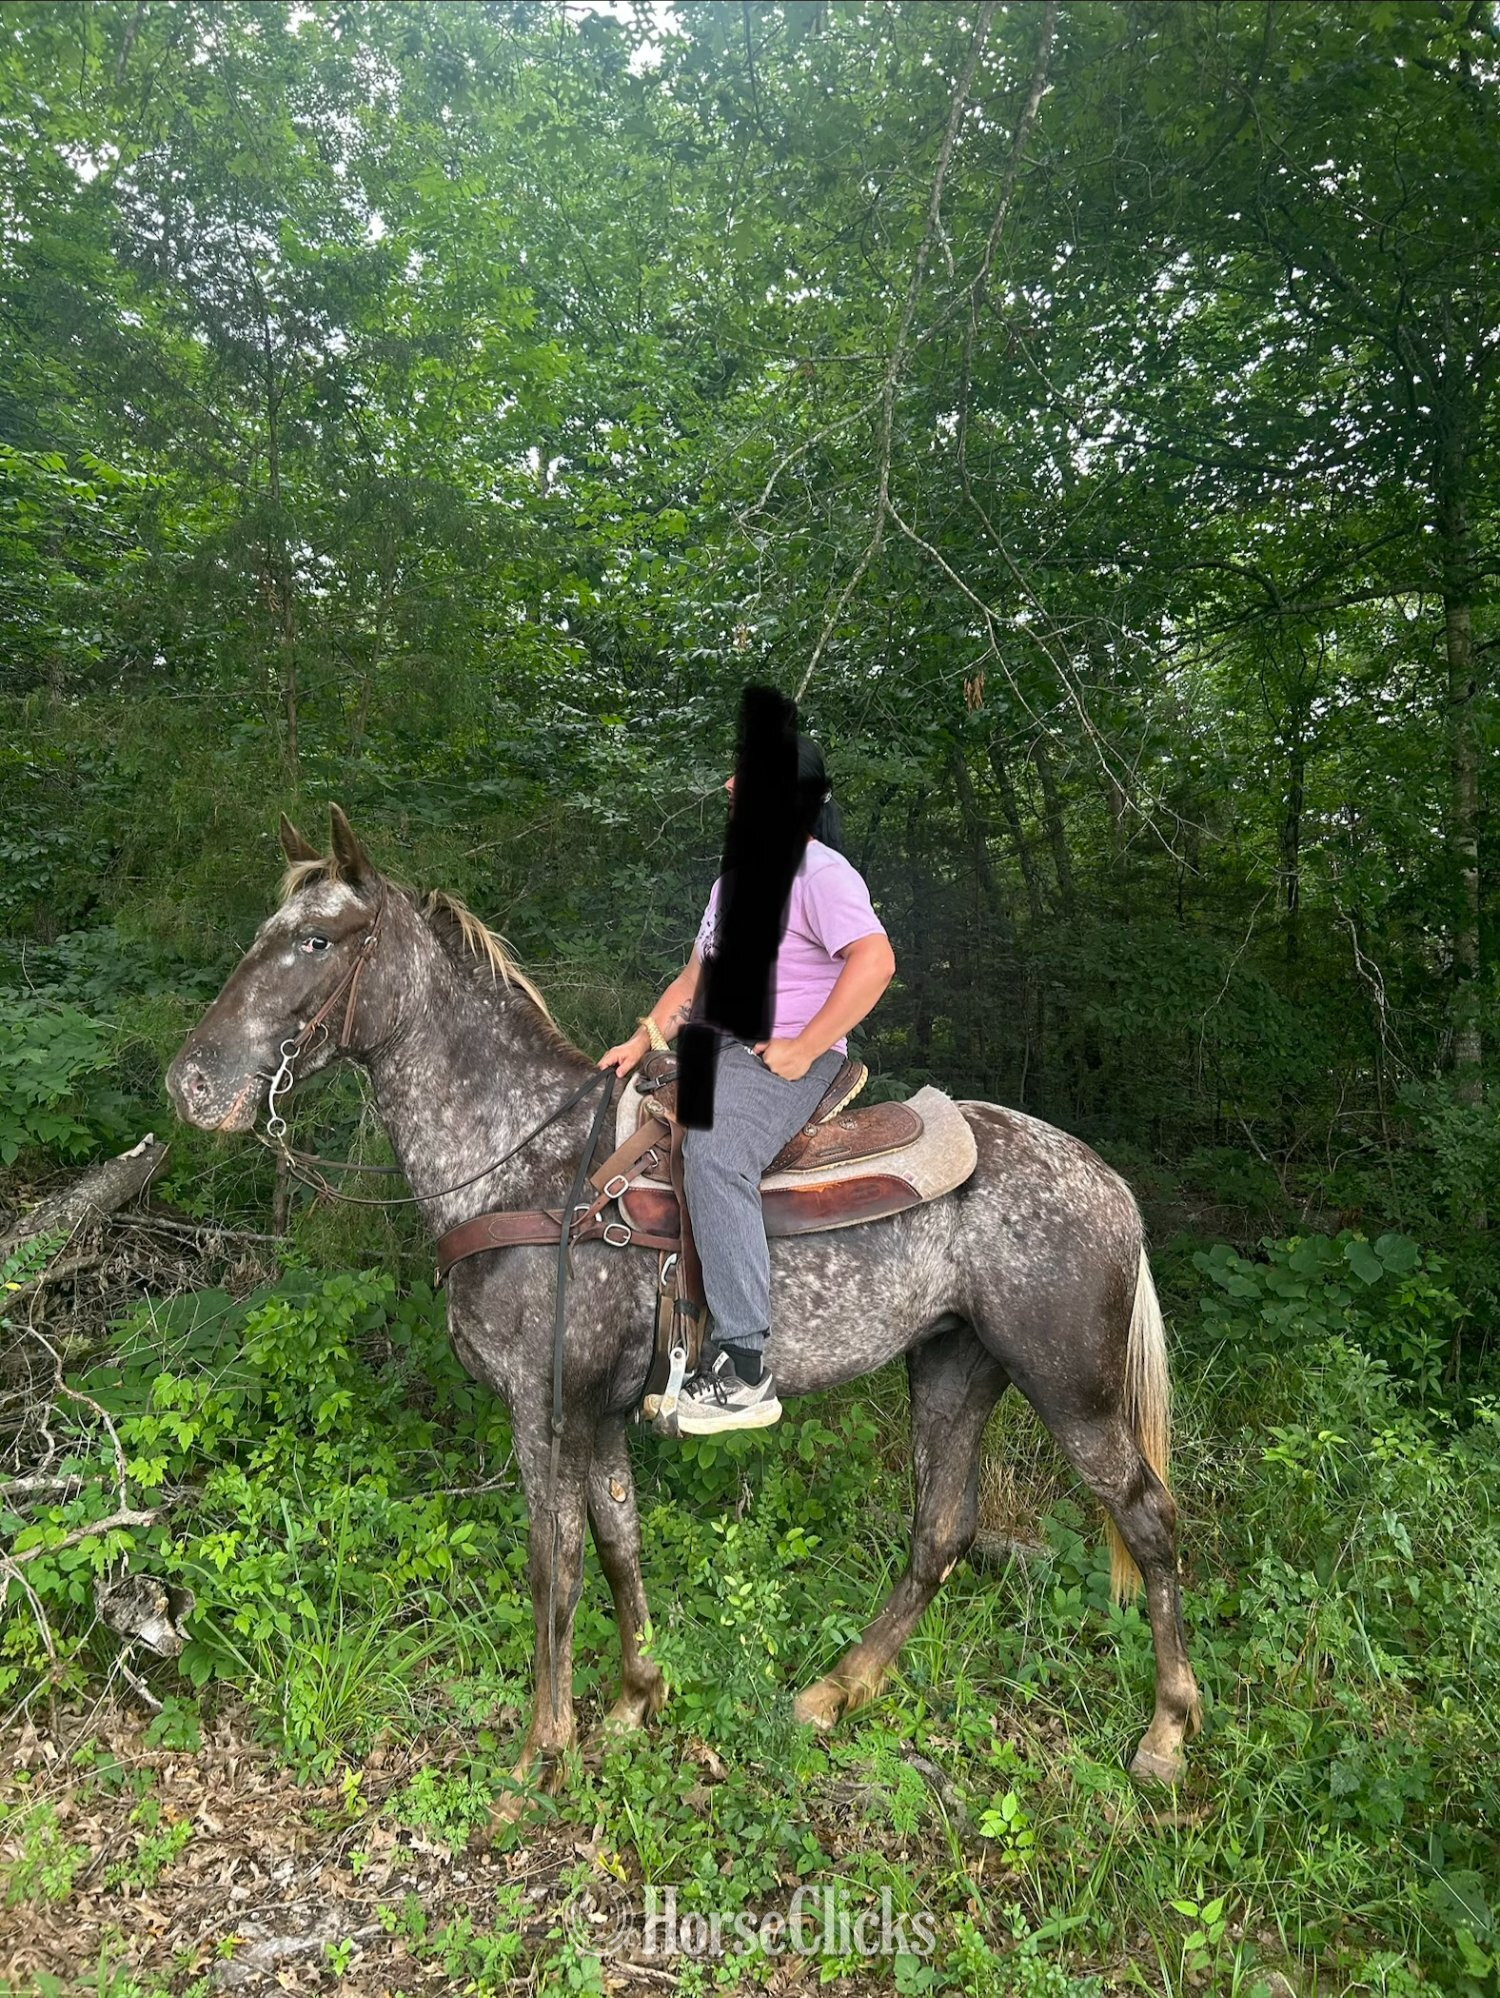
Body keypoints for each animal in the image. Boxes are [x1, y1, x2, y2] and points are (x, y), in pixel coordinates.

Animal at [166, 806, 1201, 1805]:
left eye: (317, 941)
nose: (192, 1083)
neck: (530, 1164)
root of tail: (1105, 1181)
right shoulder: (598, 1411)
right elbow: (619, 1542)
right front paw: (634, 1702)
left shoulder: (544, 1409)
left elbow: (554, 1568)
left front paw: (538, 1760)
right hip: (955, 1365)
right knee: (942, 1530)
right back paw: (835, 1691)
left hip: (1073, 1389)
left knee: (1149, 1520)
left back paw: (1165, 1733)